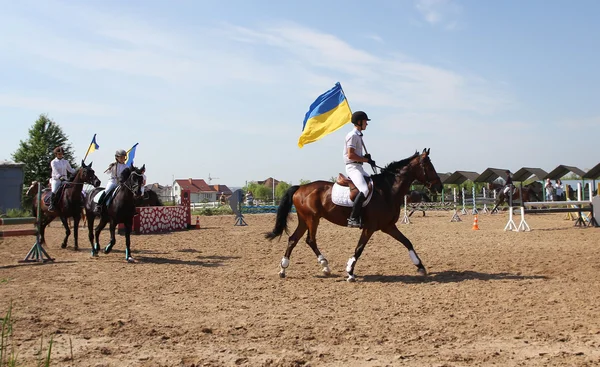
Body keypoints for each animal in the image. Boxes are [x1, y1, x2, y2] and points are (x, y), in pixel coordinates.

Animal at [264, 149, 442, 282]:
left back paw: (284, 268)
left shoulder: (388, 226)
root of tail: (301, 187)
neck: (387, 190)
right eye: (429, 166)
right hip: (312, 219)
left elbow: (407, 242)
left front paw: (420, 267)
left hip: (304, 220)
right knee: (310, 240)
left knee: (293, 239)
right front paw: (350, 272)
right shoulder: (370, 228)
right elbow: (359, 248)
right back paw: (324, 265)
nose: (439, 186)